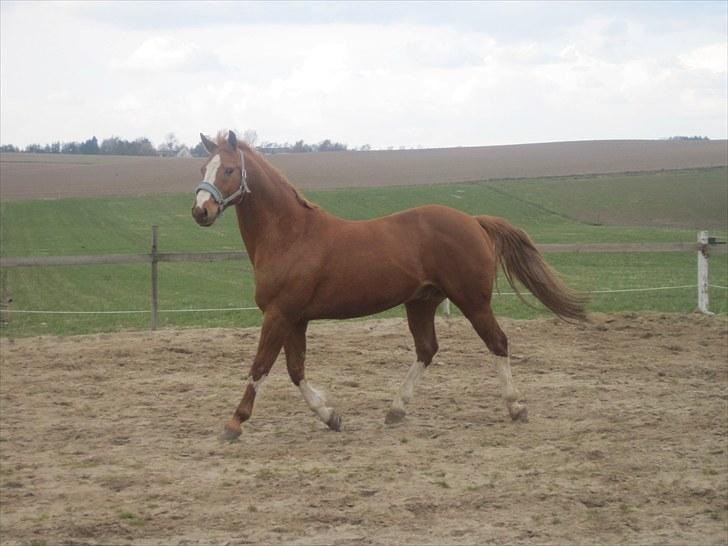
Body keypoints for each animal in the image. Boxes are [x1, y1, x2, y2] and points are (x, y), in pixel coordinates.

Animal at [192, 129, 584, 438]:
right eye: (202, 168)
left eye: (228, 169)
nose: (200, 211)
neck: (291, 236)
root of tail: (473, 220)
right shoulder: (295, 319)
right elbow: (295, 370)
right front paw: (331, 416)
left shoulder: (279, 314)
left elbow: (260, 367)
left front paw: (234, 423)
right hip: (422, 302)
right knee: (427, 349)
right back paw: (396, 410)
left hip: (472, 301)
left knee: (497, 343)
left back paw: (516, 407)